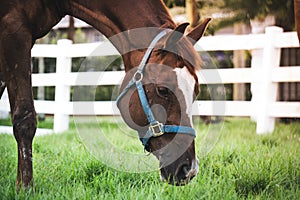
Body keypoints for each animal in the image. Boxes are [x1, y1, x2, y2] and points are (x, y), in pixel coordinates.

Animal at [0, 0, 211, 188]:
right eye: (162, 90)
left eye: (196, 91)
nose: (188, 169)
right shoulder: (14, 33)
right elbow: (25, 119)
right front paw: (25, 188)